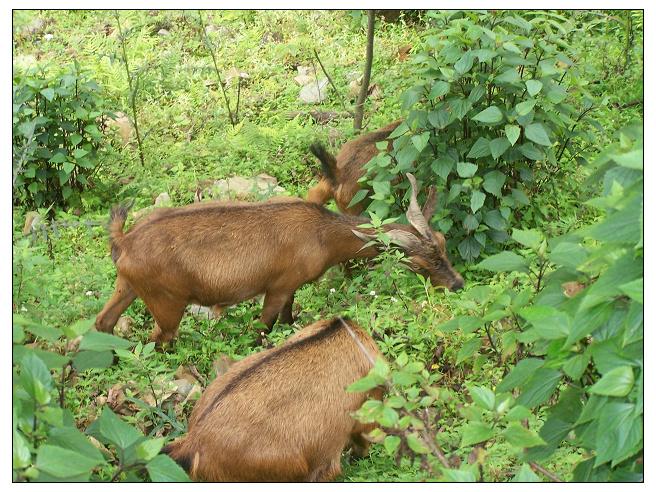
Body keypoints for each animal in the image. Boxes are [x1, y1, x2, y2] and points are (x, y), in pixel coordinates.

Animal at [95, 175, 464, 344]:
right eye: (418, 264)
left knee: (103, 322)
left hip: (128, 286)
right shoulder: (277, 286)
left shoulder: (291, 289)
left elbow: (288, 320)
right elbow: (263, 328)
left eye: (443, 242)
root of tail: (124, 241)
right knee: (159, 339)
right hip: (167, 302)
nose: (457, 284)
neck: (321, 235)